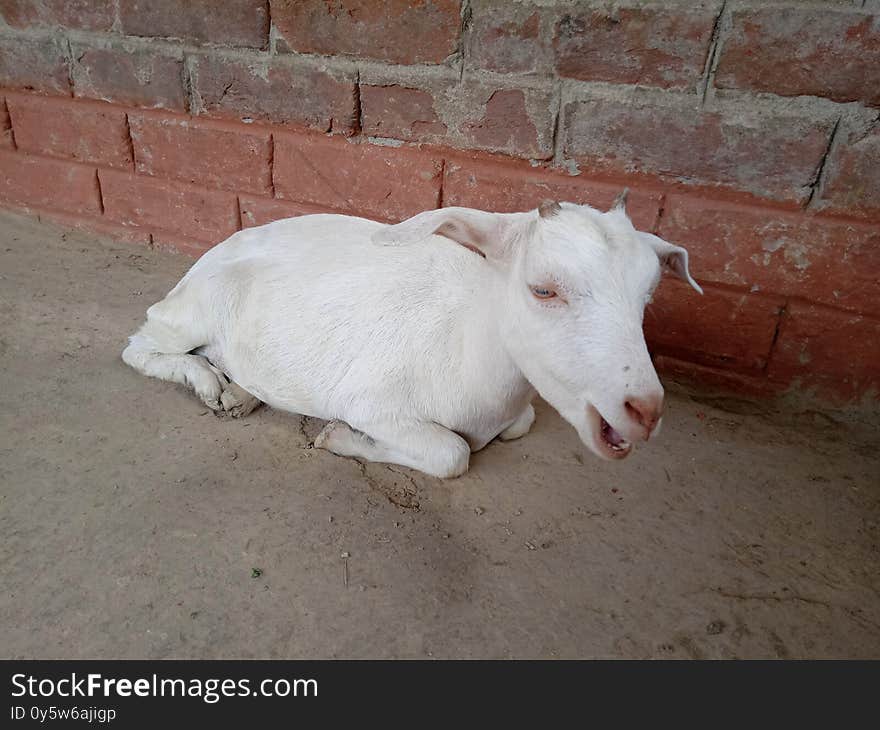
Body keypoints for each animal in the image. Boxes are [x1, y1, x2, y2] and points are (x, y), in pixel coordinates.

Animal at [124, 193, 700, 478]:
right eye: (542, 289)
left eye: (648, 294)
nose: (645, 411)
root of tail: (215, 251)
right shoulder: (372, 401)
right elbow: (452, 455)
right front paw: (339, 437)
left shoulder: (518, 414)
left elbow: (520, 426)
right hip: (198, 306)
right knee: (140, 344)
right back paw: (206, 382)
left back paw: (239, 393)